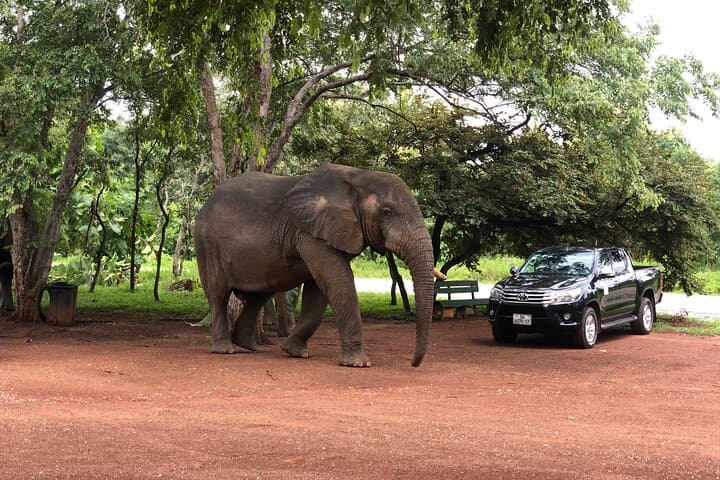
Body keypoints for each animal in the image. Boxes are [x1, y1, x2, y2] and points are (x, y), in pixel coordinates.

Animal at [193, 164, 435, 367]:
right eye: (387, 212)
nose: (413, 363)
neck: (358, 175)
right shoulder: (310, 232)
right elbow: (338, 282)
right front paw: (358, 364)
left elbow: (318, 291)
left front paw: (296, 353)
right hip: (207, 244)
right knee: (218, 293)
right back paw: (226, 349)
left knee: (258, 295)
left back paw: (248, 346)